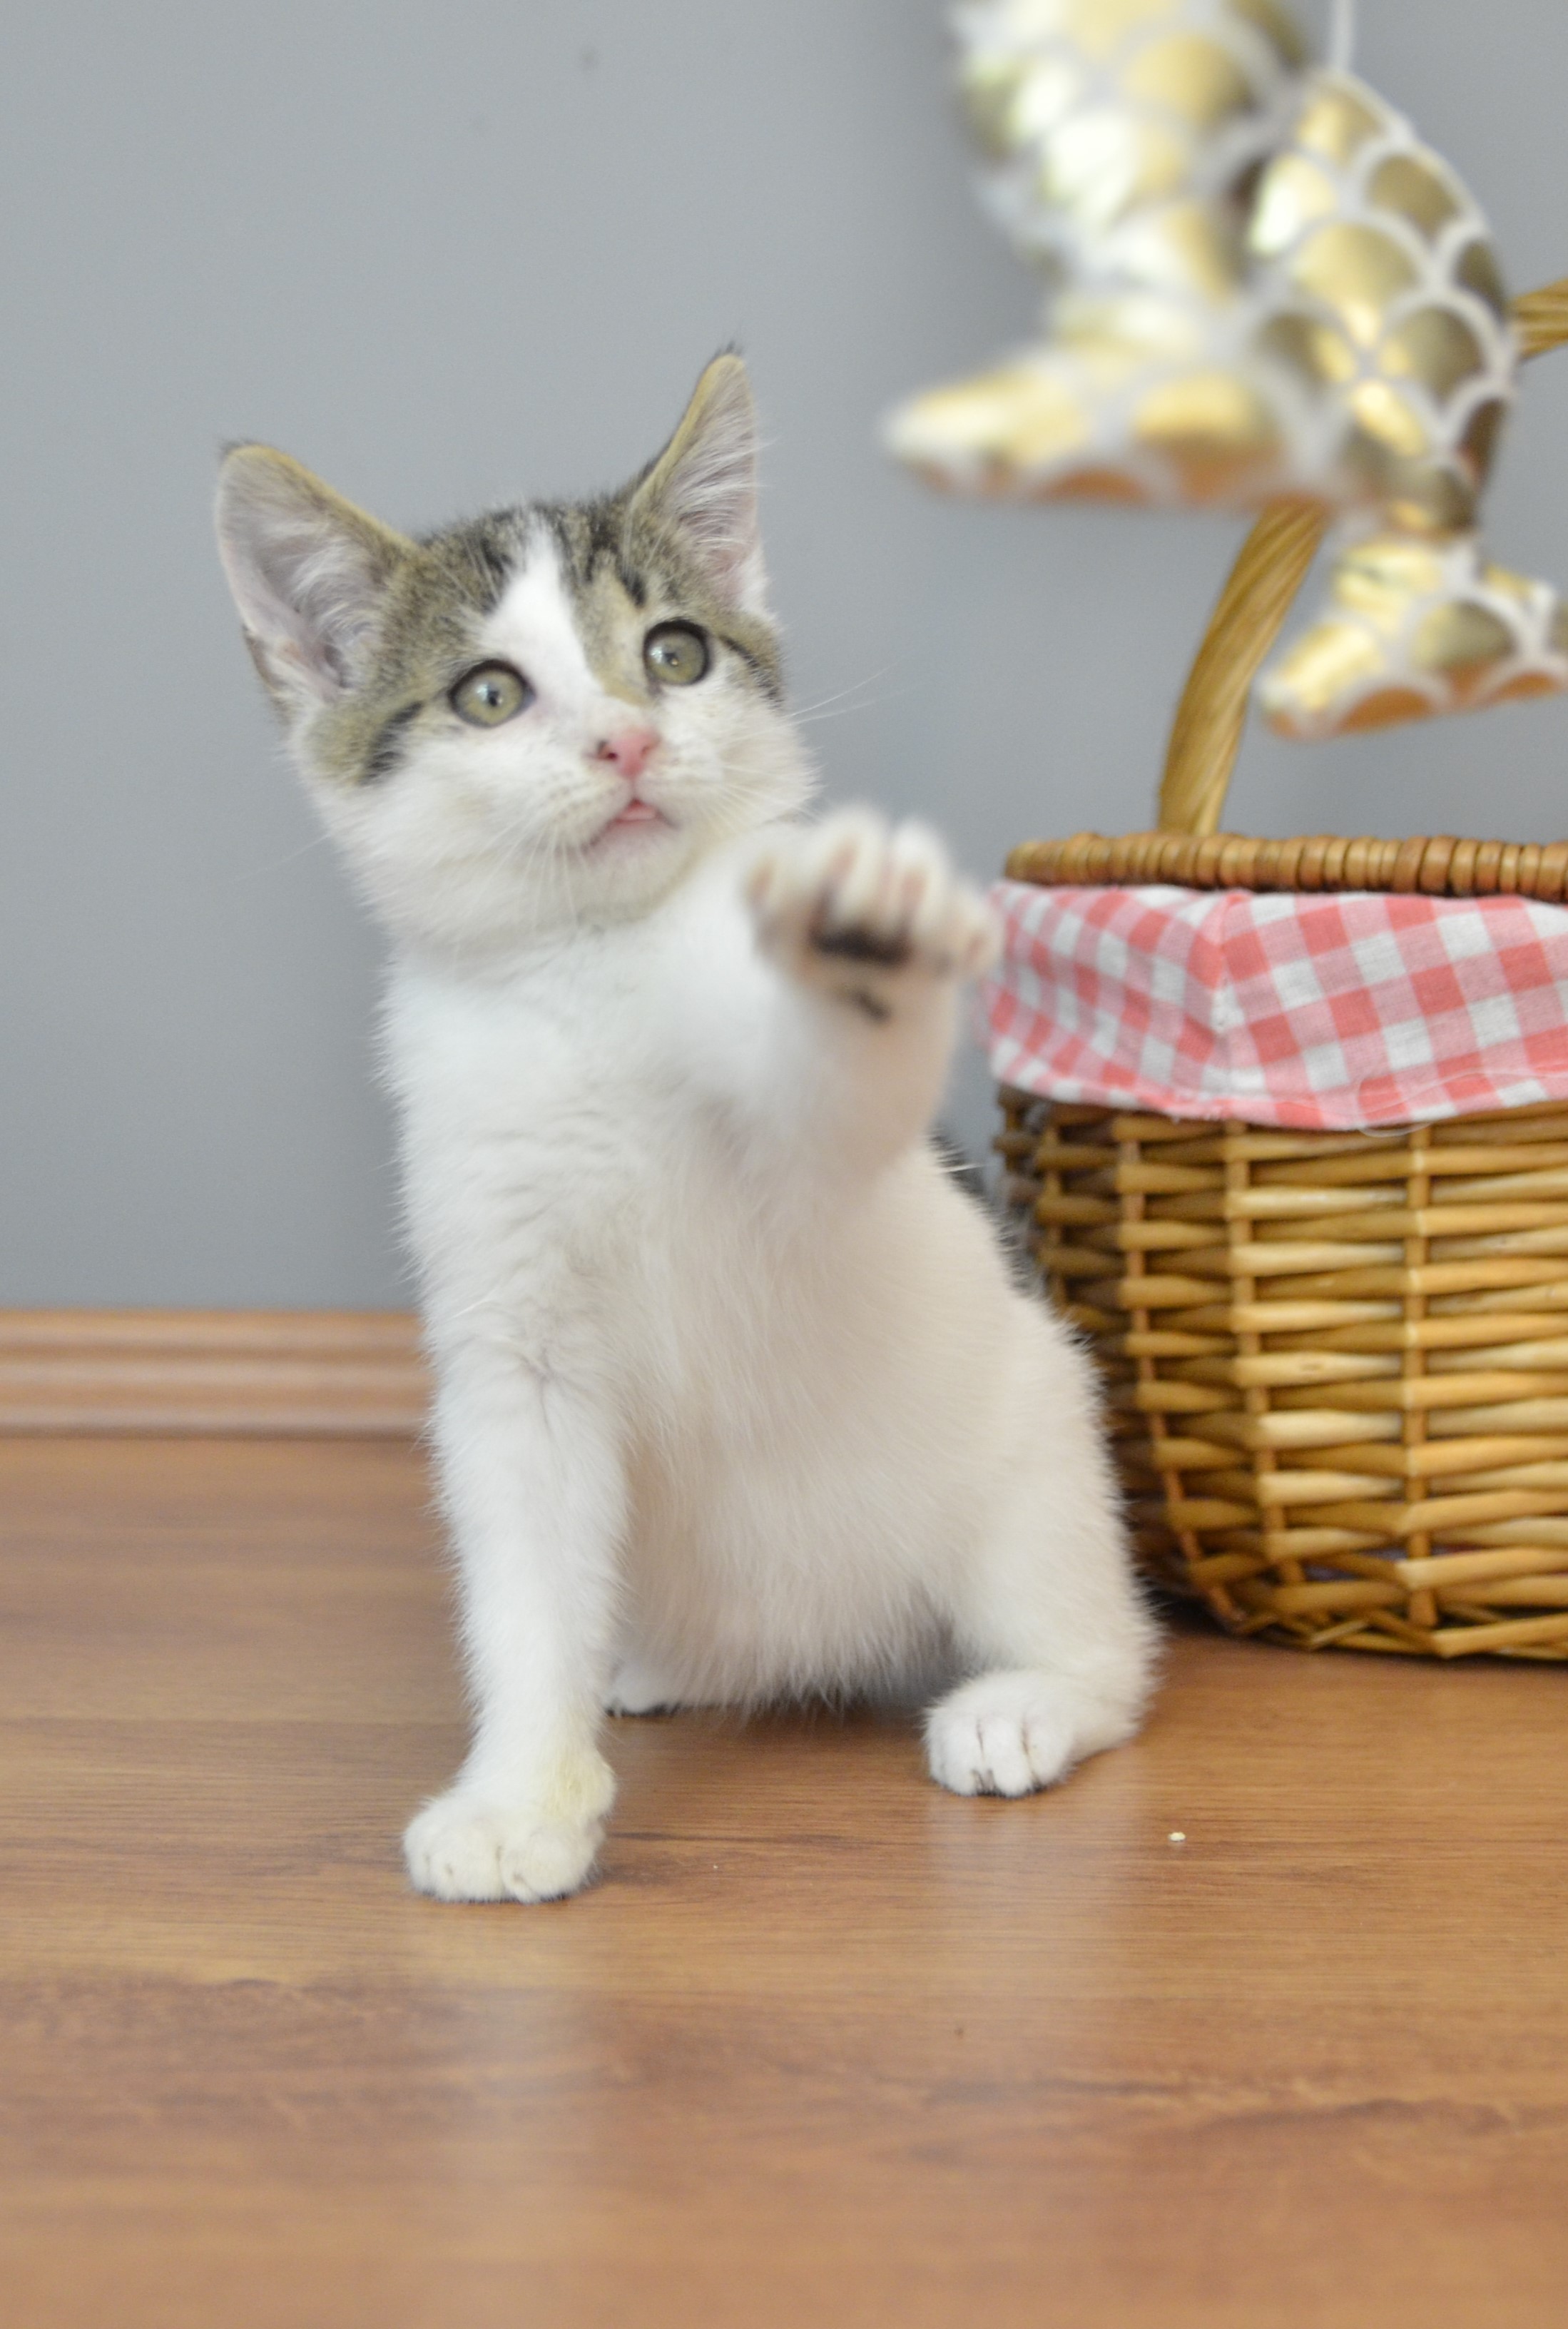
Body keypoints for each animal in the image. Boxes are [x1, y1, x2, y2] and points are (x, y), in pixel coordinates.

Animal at [215, 354, 1156, 1904]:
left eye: (672, 654)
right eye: (489, 693)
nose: (627, 737)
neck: (596, 968)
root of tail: (832, 1642)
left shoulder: (817, 1184)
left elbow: (832, 1105)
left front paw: (862, 942)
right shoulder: (512, 1351)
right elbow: (525, 1581)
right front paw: (523, 1793)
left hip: (1036, 1431)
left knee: (1112, 1646)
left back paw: (1032, 1697)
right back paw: (649, 1667)